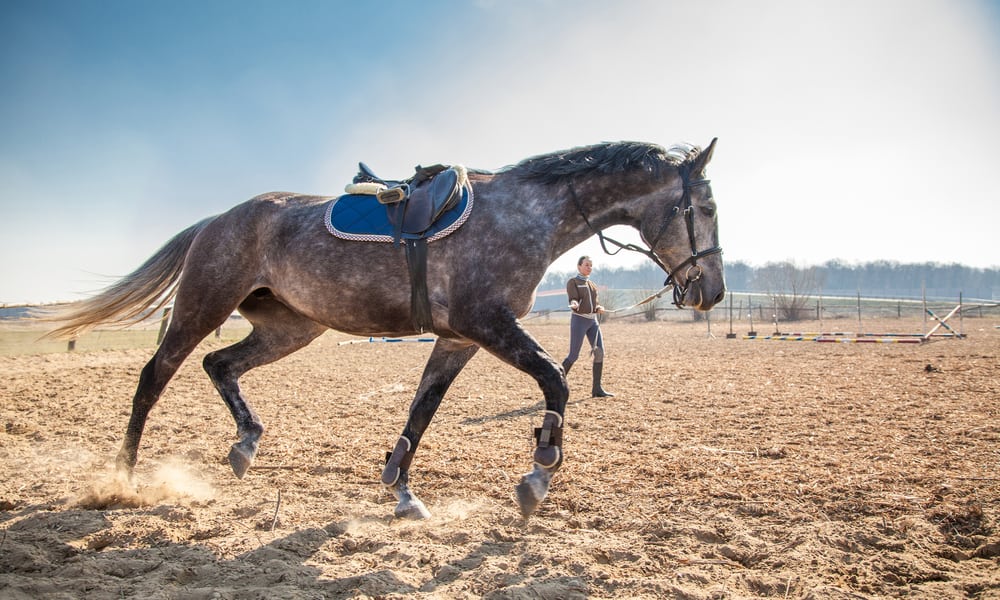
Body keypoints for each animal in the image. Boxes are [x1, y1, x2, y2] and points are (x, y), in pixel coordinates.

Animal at [44, 138, 726, 519]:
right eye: (709, 207)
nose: (711, 292)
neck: (524, 215)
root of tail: (219, 219)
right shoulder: (486, 324)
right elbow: (554, 385)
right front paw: (537, 474)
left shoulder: (458, 339)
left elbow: (421, 411)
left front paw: (400, 488)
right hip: (202, 307)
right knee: (154, 377)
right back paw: (123, 479)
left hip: (290, 327)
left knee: (220, 365)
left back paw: (245, 444)